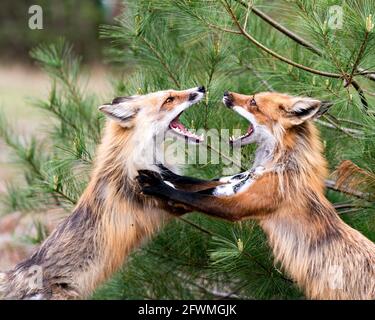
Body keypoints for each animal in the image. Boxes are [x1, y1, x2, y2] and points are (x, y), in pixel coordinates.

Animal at [138, 90, 375, 300]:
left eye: (253, 102)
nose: (226, 93)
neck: (275, 167)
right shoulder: (229, 185)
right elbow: (190, 183)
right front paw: (163, 173)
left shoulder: (238, 205)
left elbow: (189, 196)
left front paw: (157, 185)